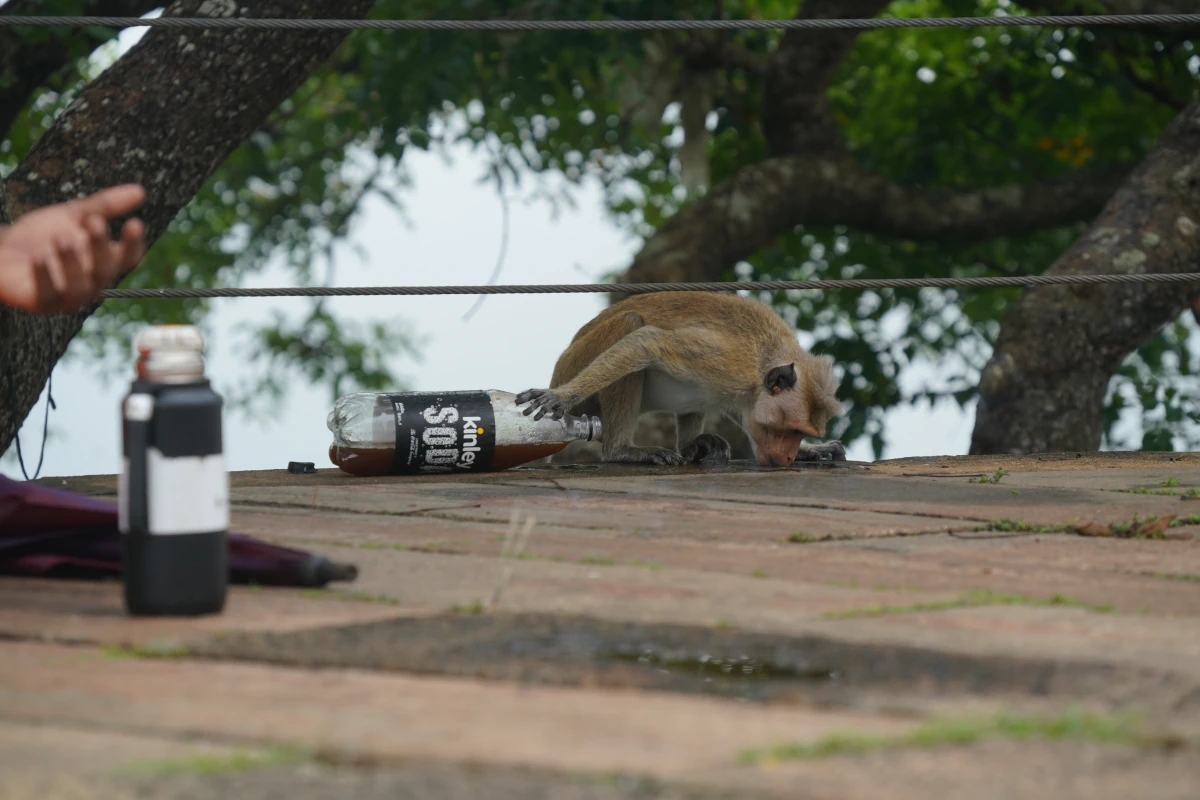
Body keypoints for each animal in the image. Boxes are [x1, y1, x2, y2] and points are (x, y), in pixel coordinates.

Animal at [513, 292, 844, 470]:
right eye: (791, 430)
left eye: (800, 434)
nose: (788, 455)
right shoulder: (729, 364)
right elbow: (647, 342)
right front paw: (561, 396)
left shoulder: (743, 392)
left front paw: (811, 450)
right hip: (575, 362)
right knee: (629, 323)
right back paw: (621, 450)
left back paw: (693, 446)